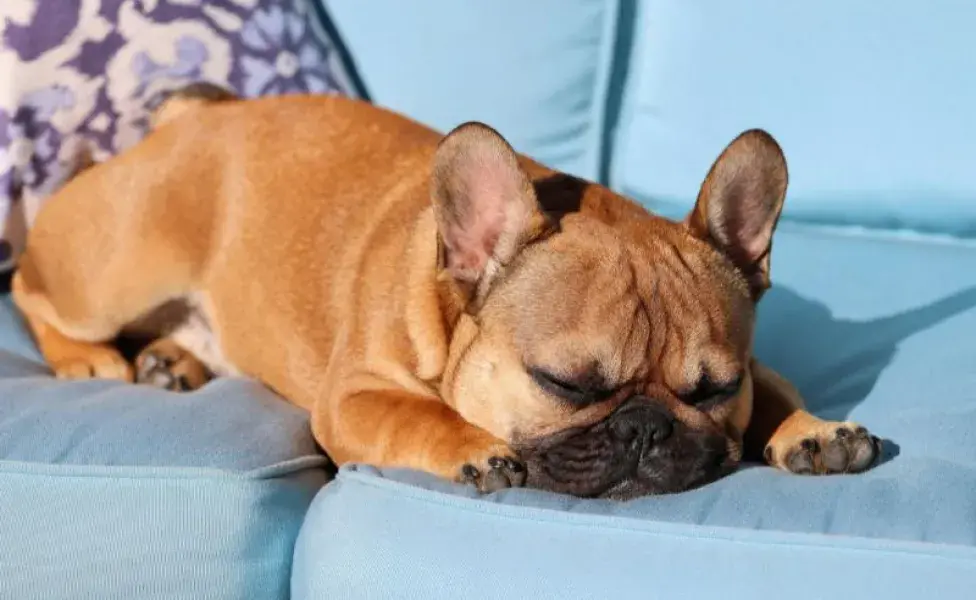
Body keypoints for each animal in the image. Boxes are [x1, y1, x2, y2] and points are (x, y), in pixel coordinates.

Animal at [7, 89, 880, 500]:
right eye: (565, 383)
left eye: (713, 390)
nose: (645, 430)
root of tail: (189, 119)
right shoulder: (353, 398)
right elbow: (417, 414)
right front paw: (474, 446)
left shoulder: (752, 366)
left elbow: (778, 390)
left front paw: (814, 429)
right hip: (114, 269)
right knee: (30, 286)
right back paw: (91, 360)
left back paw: (171, 359)